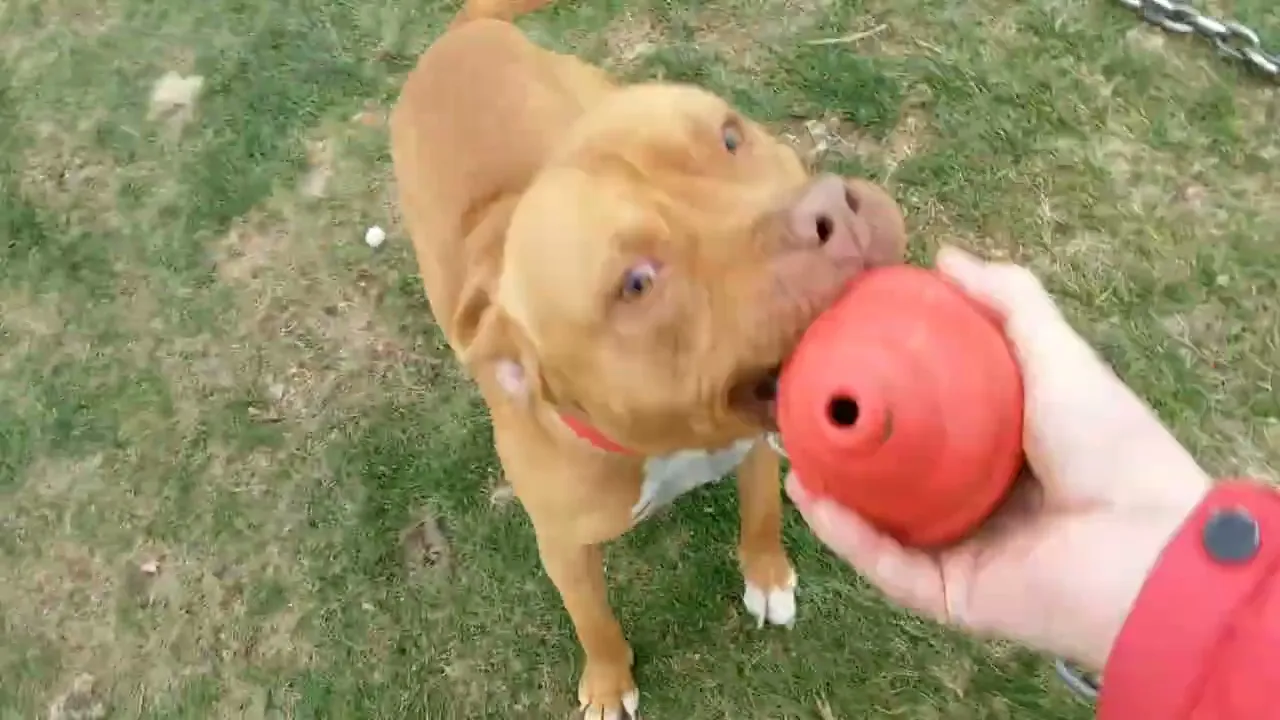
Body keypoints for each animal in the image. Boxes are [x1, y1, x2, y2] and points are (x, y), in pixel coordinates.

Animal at [389, 1, 908, 716]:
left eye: (729, 138)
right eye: (636, 284)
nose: (832, 210)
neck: (669, 443)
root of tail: (457, 37)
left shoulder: (752, 445)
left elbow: (762, 514)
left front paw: (767, 574)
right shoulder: (563, 546)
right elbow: (593, 621)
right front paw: (609, 683)